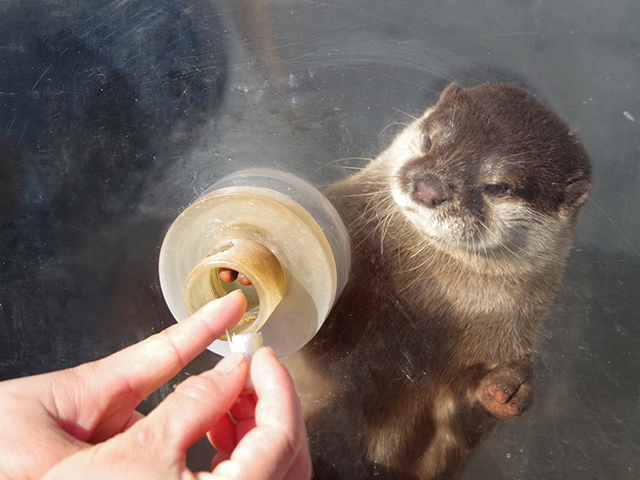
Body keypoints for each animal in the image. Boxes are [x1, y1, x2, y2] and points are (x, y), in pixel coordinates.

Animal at [282, 83, 592, 480]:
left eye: (498, 187)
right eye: (430, 139)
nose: (428, 187)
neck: (422, 307)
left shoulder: (504, 342)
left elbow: (458, 424)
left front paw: (509, 389)